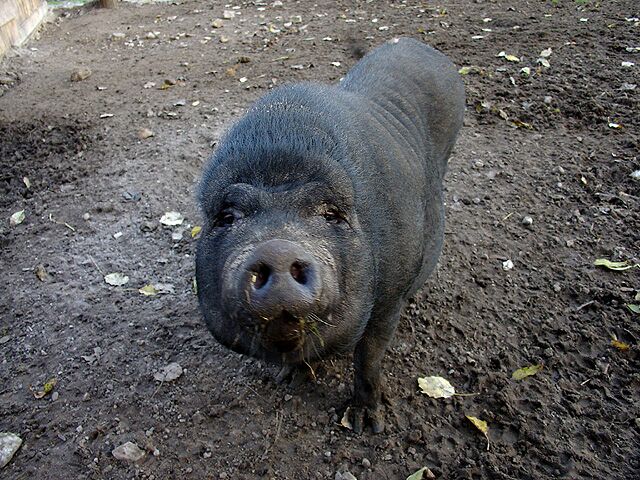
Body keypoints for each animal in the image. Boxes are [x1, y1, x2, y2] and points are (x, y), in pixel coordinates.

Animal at [196, 37, 464, 434]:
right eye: (227, 216)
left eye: (330, 214)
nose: (277, 249)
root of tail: (420, 44)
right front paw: (287, 380)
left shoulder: (390, 296)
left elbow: (369, 355)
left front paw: (364, 425)